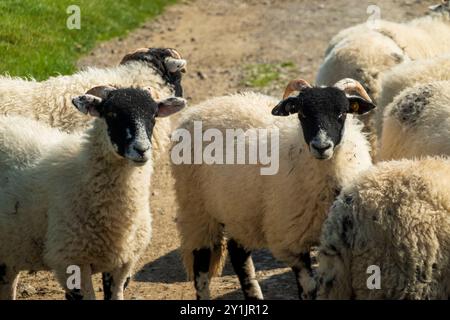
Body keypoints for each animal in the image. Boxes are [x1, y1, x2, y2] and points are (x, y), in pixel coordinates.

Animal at [0, 85, 186, 300]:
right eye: (111, 114)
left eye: (154, 115)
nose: (142, 150)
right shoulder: (71, 260)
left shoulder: (123, 263)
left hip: (10, 252)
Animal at [172, 77, 376, 300]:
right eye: (302, 114)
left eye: (342, 113)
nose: (321, 147)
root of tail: (203, 107)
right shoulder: (292, 242)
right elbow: (309, 288)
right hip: (196, 209)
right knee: (201, 262)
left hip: (239, 211)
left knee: (238, 253)